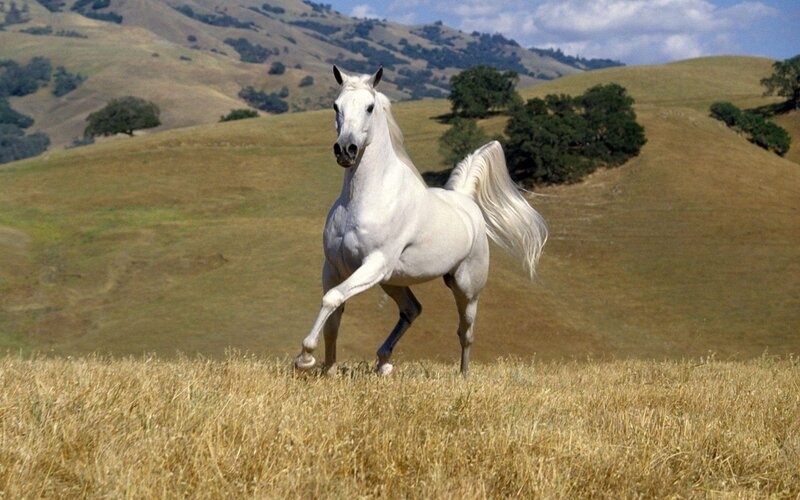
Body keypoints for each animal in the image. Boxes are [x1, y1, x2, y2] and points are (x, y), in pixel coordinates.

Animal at [293, 65, 548, 376]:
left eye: (369, 107)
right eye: (335, 106)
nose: (346, 149)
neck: (362, 199)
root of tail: (465, 201)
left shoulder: (374, 263)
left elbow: (331, 299)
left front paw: (305, 358)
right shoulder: (334, 267)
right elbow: (333, 314)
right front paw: (327, 370)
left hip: (465, 287)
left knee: (465, 332)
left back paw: (463, 376)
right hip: (392, 281)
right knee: (412, 309)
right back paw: (383, 362)